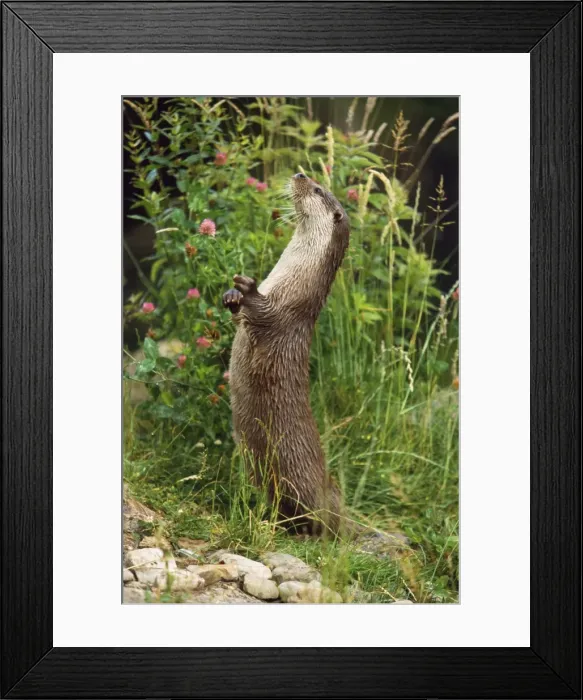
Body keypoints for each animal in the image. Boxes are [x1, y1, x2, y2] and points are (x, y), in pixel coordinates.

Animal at [222, 173, 350, 535]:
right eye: (314, 181)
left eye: (318, 190)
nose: (300, 174)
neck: (289, 283)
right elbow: (237, 314)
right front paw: (232, 294)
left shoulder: (285, 310)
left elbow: (263, 311)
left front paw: (248, 288)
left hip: (297, 478)